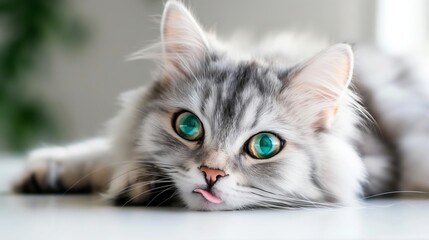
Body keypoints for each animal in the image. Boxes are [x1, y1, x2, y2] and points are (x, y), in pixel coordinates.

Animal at [11, 0, 428, 210]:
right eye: (188, 126)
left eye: (264, 145)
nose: (211, 173)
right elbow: (104, 151)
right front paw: (42, 170)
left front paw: (135, 184)